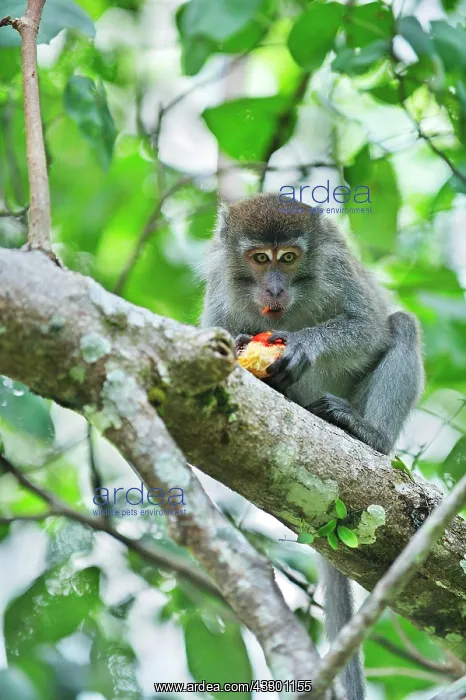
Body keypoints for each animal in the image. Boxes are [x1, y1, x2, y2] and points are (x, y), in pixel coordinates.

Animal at [200, 192, 424, 700]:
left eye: (288, 258)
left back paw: (366, 435)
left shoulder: (337, 268)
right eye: (259, 259)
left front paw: (303, 344)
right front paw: (241, 348)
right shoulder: (221, 293)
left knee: (401, 325)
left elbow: (367, 326)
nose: (275, 289)